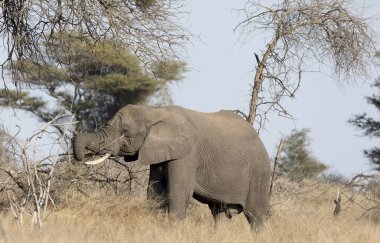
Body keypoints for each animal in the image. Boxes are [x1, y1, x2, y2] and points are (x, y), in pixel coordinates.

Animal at [73, 104, 270, 230]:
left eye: (125, 131)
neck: (154, 112)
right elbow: (154, 196)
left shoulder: (187, 156)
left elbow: (177, 196)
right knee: (219, 214)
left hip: (259, 173)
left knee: (256, 216)